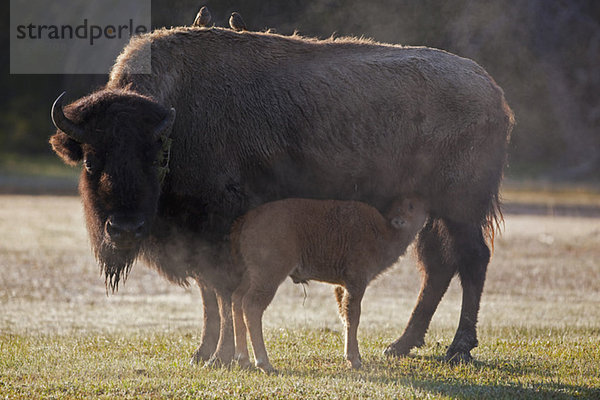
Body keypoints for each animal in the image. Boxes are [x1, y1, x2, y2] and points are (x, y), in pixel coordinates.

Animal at [230, 197, 426, 372]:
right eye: (411, 206)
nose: (425, 206)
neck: (383, 229)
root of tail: (247, 219)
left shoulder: (342, 286)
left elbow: (344, 314)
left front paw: (355, 356)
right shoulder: (356, 283)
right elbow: (353, 315)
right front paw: (354, 360)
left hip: (250, 276)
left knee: (237, 299)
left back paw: (243, 359)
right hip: (268, 276)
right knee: (252, 305)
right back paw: (265, 363)